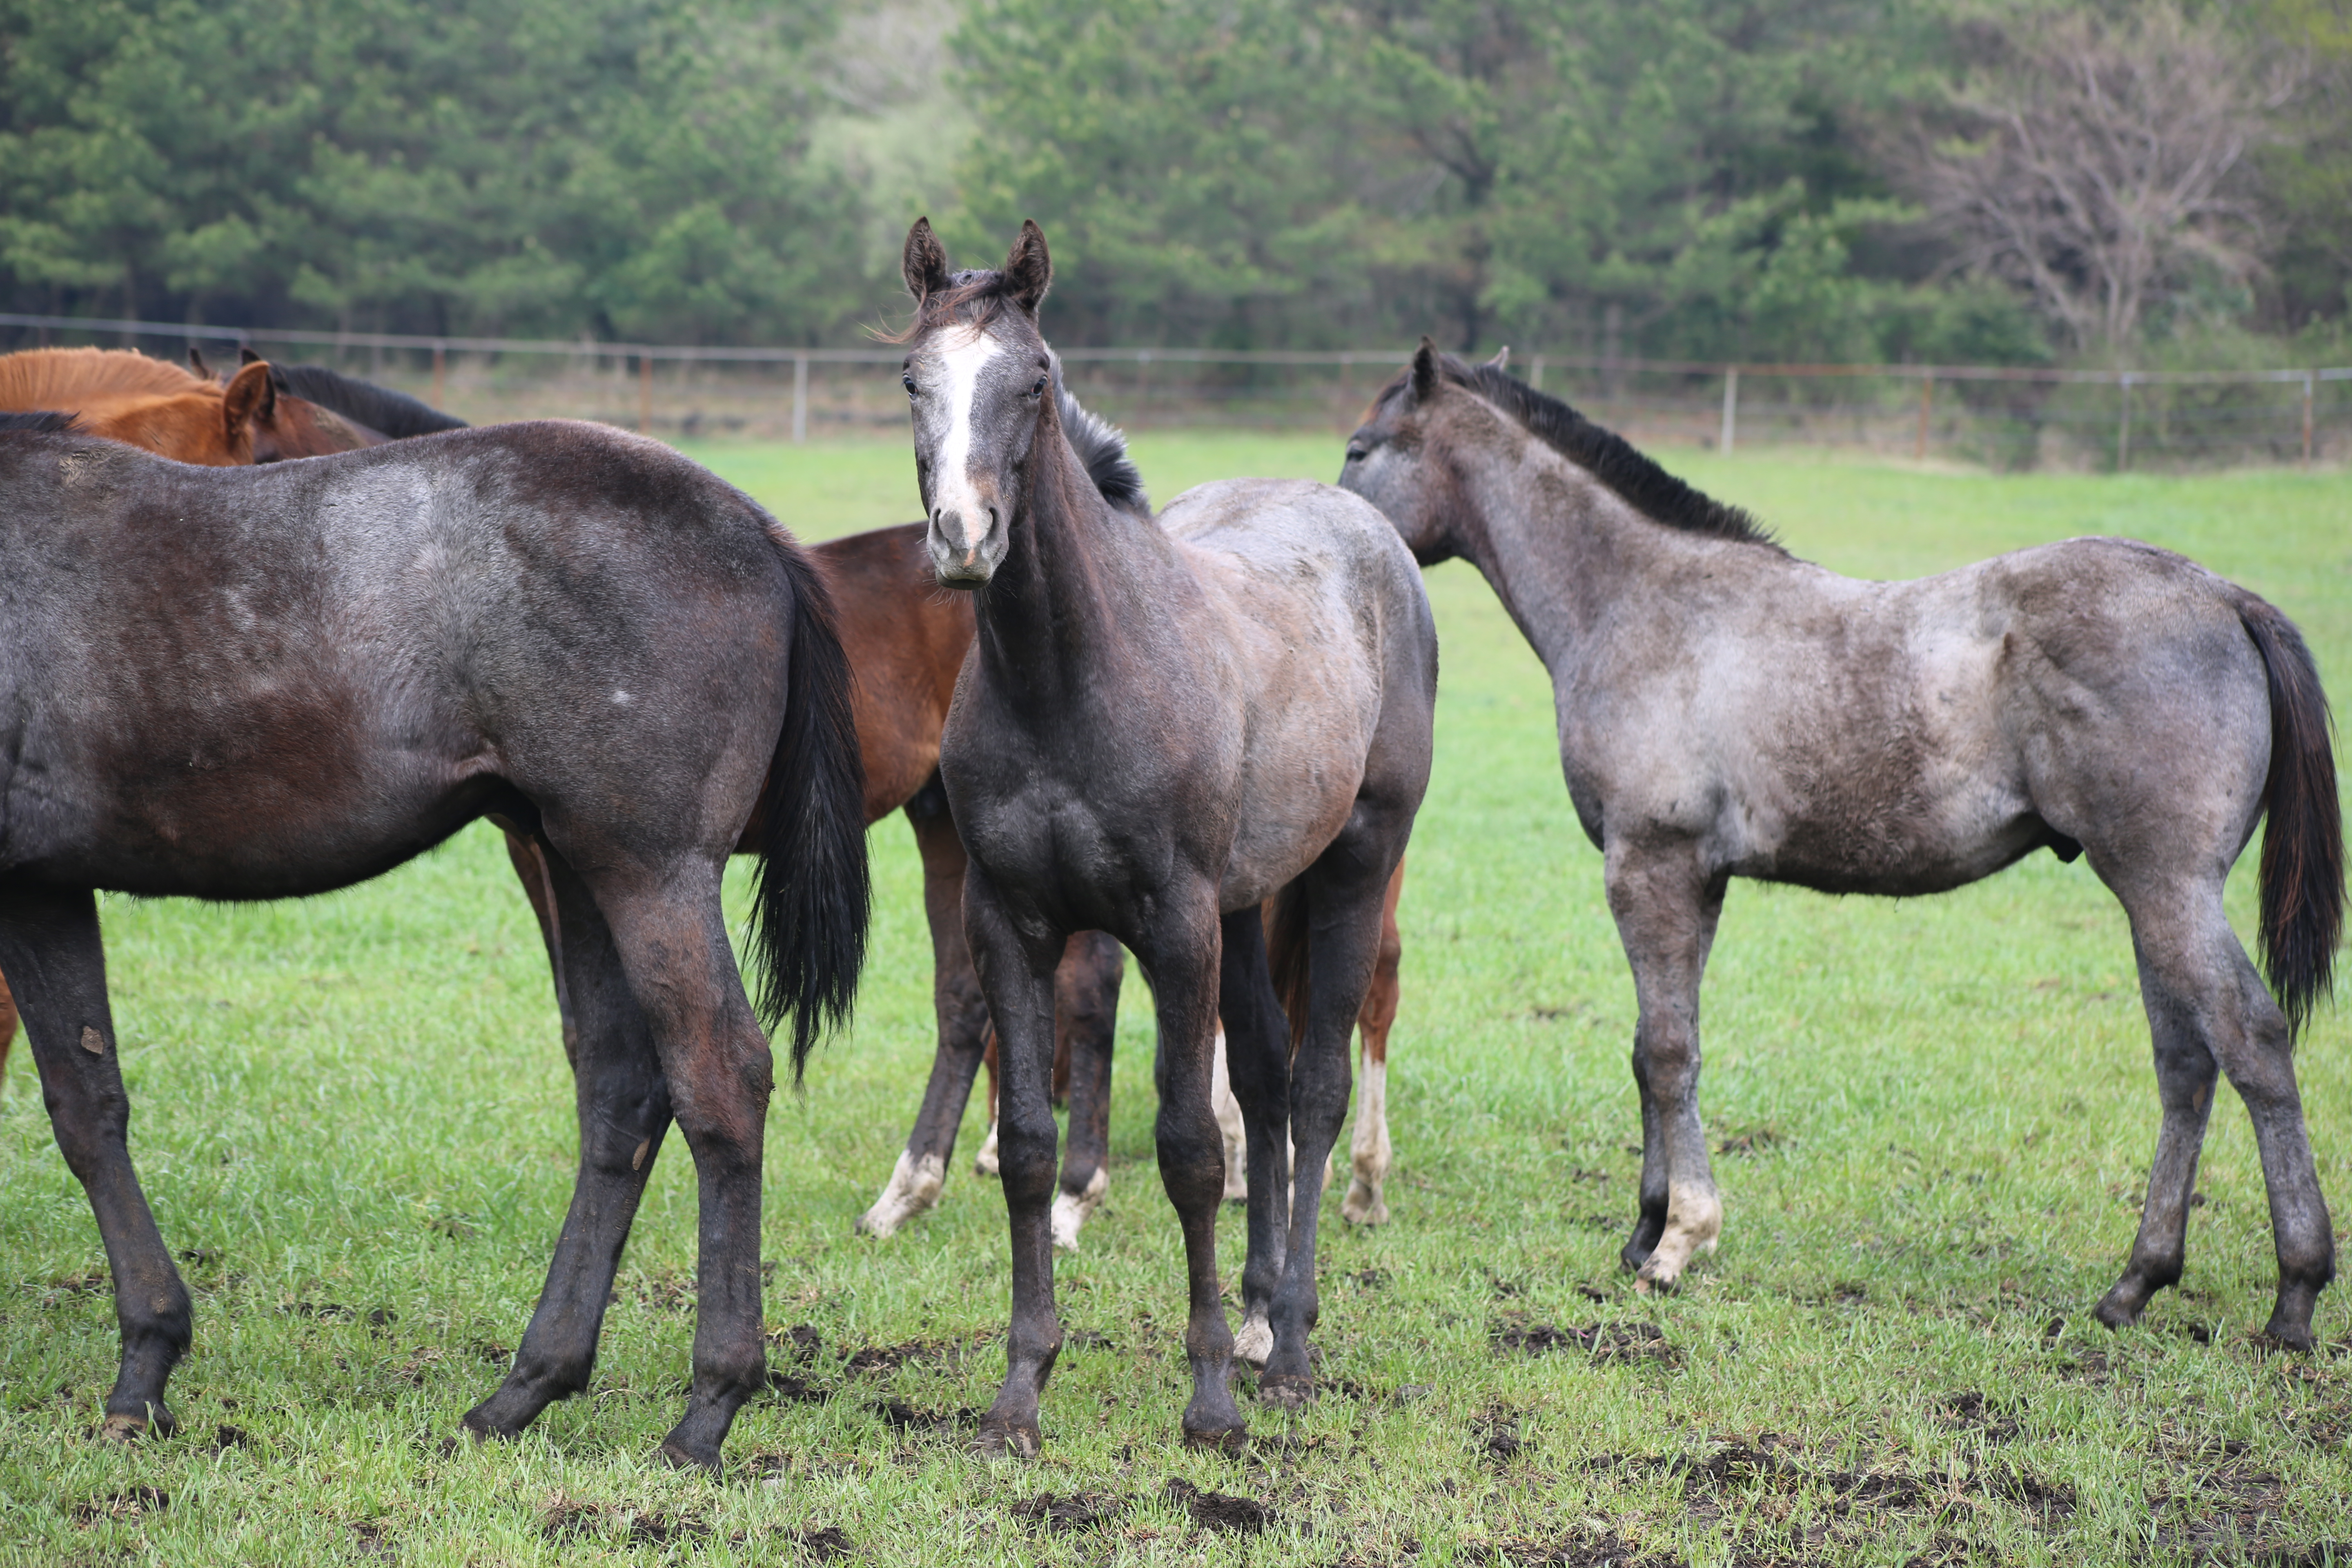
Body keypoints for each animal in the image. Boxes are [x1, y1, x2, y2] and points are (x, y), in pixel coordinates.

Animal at [0, 421, 875, 1476]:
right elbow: (89, 1108)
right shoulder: (43, 886)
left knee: (720, 1081)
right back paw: (524, 1388)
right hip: (572, 862)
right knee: (623, 1093)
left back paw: (707, 1408)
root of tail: (754, 527)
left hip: (650, 870)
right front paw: (145, 1367)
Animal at [1336, 343, 2342, 1354]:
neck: (1646, 604)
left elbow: (1668, 1051)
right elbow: (1655, 1051)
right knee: (2187, 1064)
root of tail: (2226, 597)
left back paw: (2294, 1297)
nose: (1347, 547)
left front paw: (1680, 1242)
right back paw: (2136, 1284)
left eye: (1358, 449)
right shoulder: (1695, 880)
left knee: (2253, 1043)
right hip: (2152, 895)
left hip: (2169, 889)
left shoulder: (1650, 866)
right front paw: (1647, 1228)